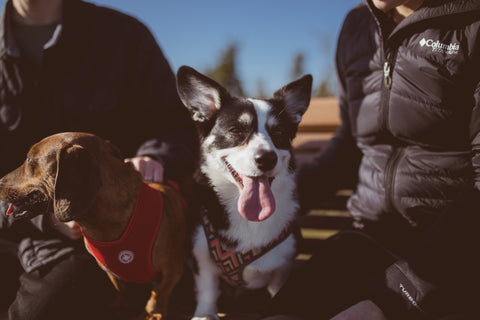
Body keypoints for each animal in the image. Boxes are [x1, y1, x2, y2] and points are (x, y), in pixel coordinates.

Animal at [0, 131, 188, 318]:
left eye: (29, 159)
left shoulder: (173, 270)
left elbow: (159, 292)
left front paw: (154, 312)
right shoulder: (111, 273)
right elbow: (122, 290)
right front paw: (121, 306)